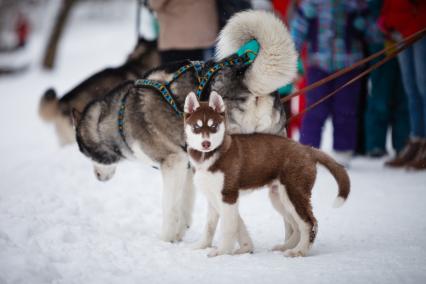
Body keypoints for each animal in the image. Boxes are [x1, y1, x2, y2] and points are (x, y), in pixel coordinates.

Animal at [183, 91, 350, 258]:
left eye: (214, 126)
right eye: (196, 127)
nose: (206, 144)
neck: (209, 156)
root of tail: (307, 148)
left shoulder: (228, 195)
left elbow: (228, 226)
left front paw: (222, 251)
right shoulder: (213, 197)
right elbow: (215, 226)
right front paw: (241, 247)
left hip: (294, 193)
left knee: (309, 223)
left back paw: (299, 251)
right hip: (279, 198)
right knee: (296, 225)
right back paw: (285, 247)